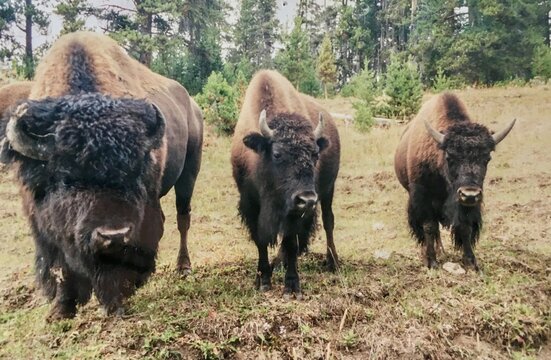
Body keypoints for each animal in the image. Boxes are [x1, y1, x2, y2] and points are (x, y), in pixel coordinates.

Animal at [0, 32, 204, 320]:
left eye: (133, 175)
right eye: (66, 178)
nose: (113, 235)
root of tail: (193, 107)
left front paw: (115, 304)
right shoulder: (42, 220)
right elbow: (61, 263)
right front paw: (61, 310)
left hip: (189, 173)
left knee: (182, 218)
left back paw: (183, 267)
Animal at [230, 70, 340, 298]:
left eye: (315, 154)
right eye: (277, 154)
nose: (307, 199)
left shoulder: (293, 211)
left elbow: (290, 242)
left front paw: (291, 286)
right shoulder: (251, 204)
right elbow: (261, 240)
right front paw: (263, 279)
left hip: (328, 191)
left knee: (328, 222)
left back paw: (332, 262)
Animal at [394, 93, 516, 270]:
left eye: (487, 158)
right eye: (449, 157)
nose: (469, 194)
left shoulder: (466, 205)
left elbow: (465, 227)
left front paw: (471, 263)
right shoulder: (423, 197)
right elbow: (429, 226)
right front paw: (432, 262)